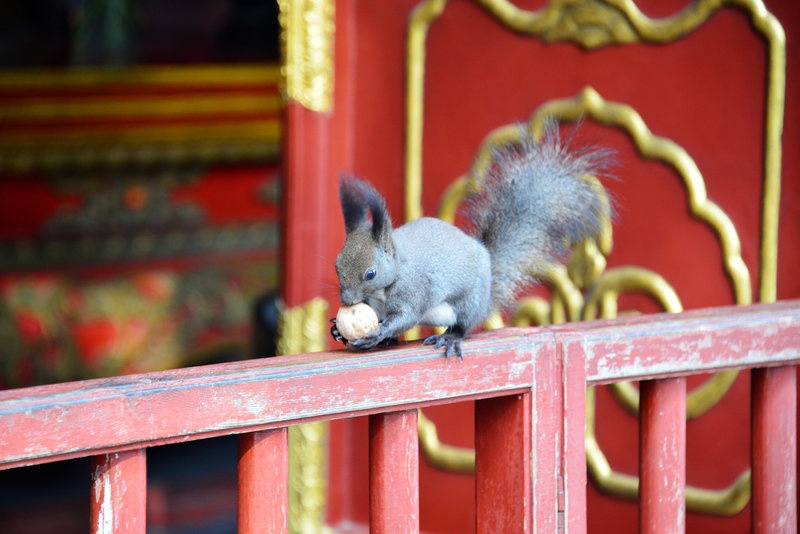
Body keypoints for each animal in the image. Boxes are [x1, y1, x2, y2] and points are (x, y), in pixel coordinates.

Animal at [332, 119, 612, 358]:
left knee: (464, 326)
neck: (396, 270)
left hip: (469, 302)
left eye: (371, 273)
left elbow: (406, 317)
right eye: (337, 266)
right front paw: (337, 329)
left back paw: (450, 337)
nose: (346, 300)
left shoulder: (414, 288)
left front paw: (378, 333)